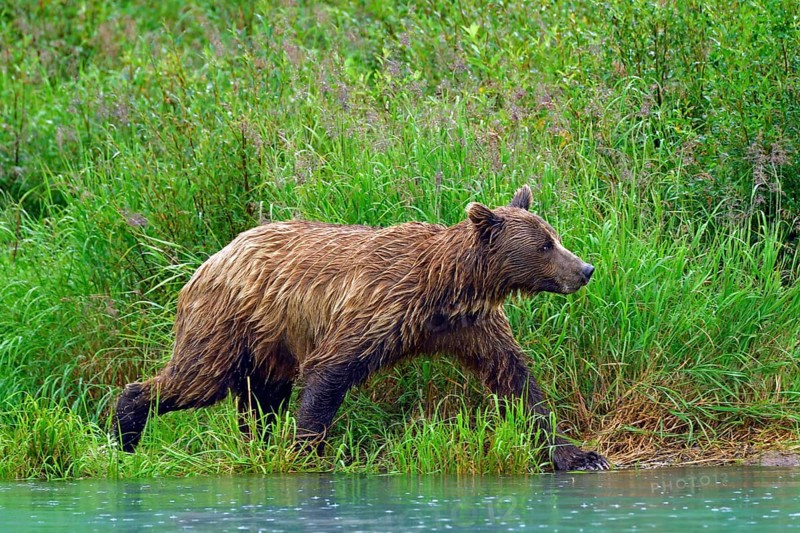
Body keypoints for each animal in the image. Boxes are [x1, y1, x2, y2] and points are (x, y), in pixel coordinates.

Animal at [113, 185, 609, 471]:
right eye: (544, 246)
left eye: (554, 237)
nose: (584, 269)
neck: (447, 289)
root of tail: (212, 257)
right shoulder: (378, 305)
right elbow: (330, 372)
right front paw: (307, 452)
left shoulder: (470, 325)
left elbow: (515, 379)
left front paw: (579, 454)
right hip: (228, 323)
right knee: (195, 379)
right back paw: (125, 429)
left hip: (270, 344)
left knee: (261, 399)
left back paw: (256, 443)